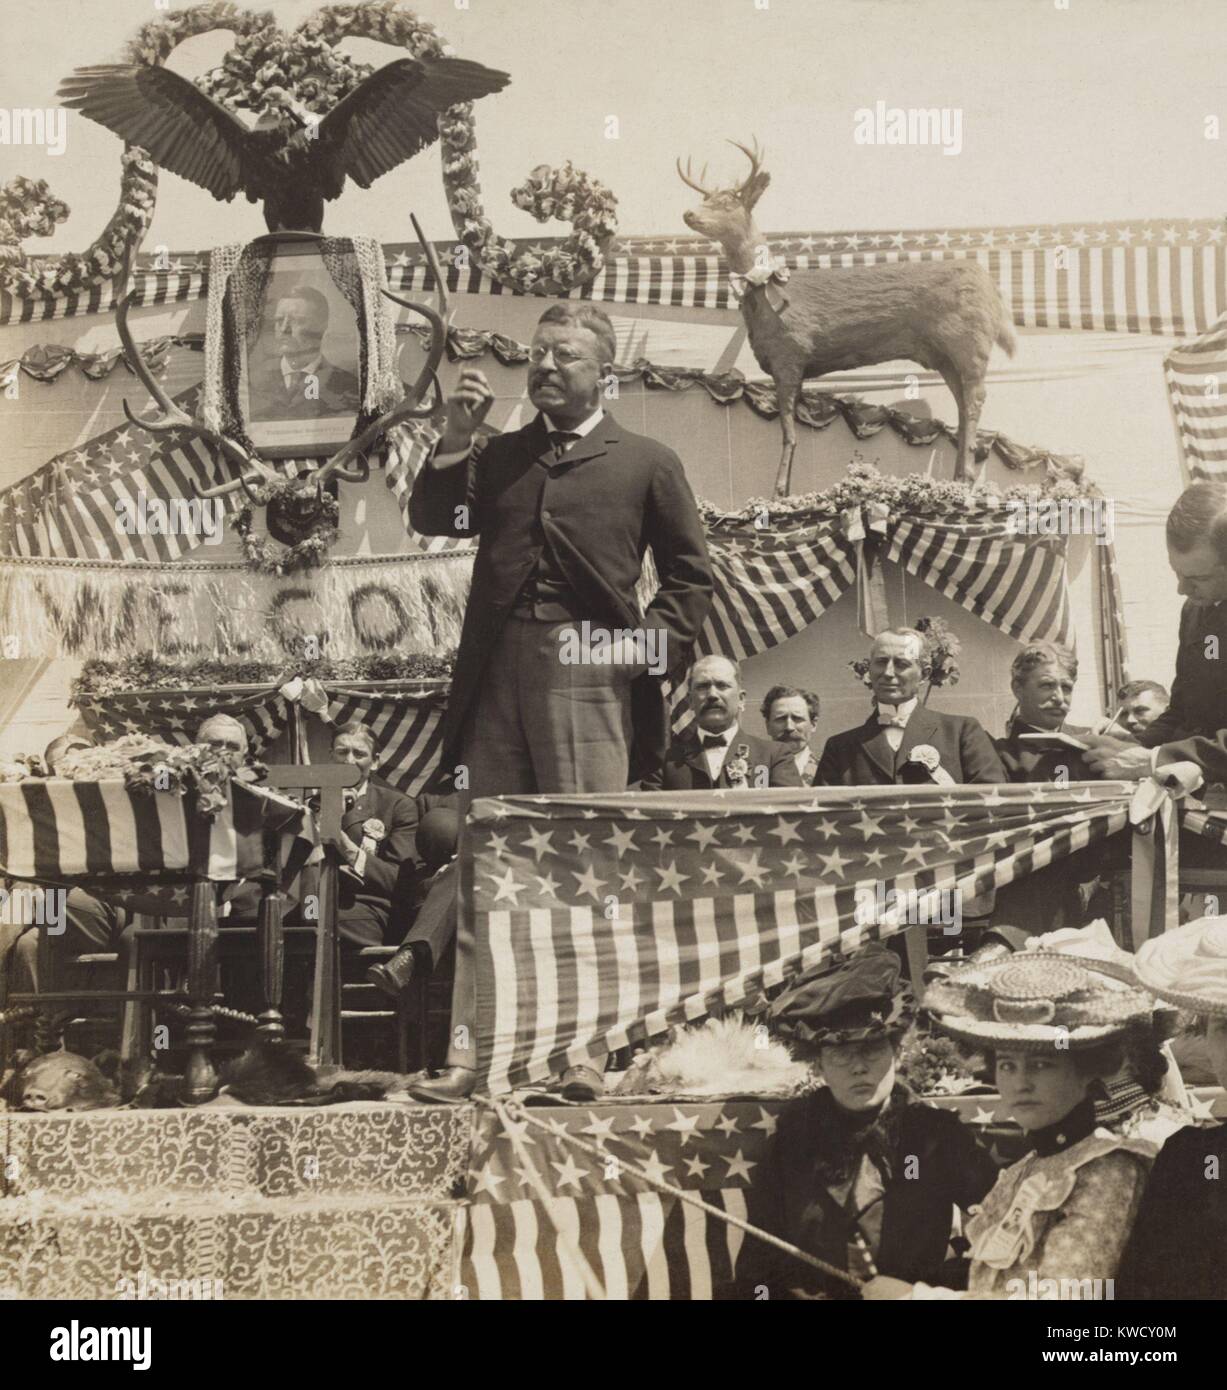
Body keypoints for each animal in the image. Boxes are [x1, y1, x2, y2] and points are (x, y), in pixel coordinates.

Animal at [680, 141, 1017, 497]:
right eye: (705, 198)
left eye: (728, 202)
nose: (689, 213)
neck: (769, 292)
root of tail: (991, 285)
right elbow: (792, 430)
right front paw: (785, 488)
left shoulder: (790, 354)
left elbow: (788, 433)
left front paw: (779, 491)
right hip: (943, 354)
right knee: (963, 404)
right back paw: (956, 477)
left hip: (969, 341)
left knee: (975, 399)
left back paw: (965, 478)